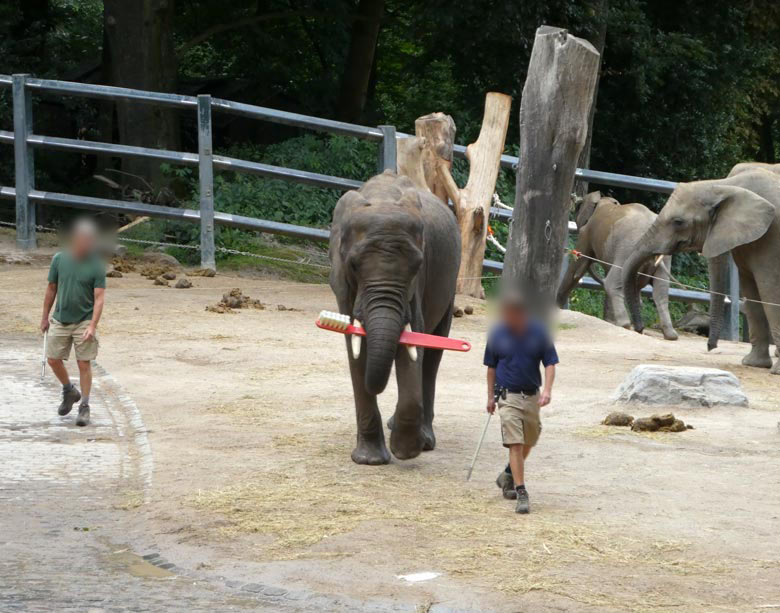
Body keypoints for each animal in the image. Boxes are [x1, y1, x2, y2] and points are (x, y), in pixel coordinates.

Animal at [328, 170, 460, 462]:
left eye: (417, 265)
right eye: (353, 265)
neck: (383, 199)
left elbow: (414, 341)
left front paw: (405, 450)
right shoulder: (342, 283)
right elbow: (354, 346)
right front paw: (370, 460)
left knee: (433, 355)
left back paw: (424, 440)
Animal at [556, 191, 676, 340]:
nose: (640, 329)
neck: (605, 200)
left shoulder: (587, 233)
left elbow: (577, 269)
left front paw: (556, 308)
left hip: (628, 248)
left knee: (612, 283)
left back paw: (624, 325)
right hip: (663, 255)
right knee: (660, 291)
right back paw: (670, 335)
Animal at [624, 170, 780, 376]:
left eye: (678, 222)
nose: (639, 329)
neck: (723, 185)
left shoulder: (772, 240)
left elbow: (771, 292)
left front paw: (776, 371)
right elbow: (752, 293)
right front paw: (753, 364)